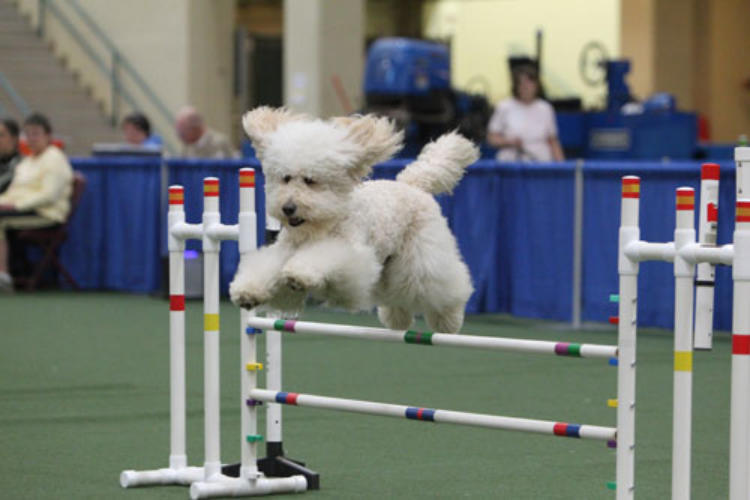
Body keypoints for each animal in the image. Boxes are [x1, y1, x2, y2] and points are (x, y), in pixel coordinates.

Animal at [229, 106, 478, 332]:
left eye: (310, 180)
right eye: (286, 178)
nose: (288, 208)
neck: (322, 226)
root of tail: (413, 184)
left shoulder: (348, 254)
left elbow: (320, 260)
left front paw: (299, 273)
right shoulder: (284, 250)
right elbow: (267, 269)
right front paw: (248, 291)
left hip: (421, 257)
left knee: (442, 287)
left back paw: (449, 322)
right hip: (389, 268)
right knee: (397, 294)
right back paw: (398, 320)